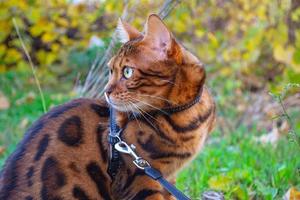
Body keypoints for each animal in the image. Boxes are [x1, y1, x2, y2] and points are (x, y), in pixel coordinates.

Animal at [0, 14, 216, 200]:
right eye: (111, 71)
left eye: (127, 72)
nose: (106, 90)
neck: (184, 115)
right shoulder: (140, 178)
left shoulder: (166, 178)